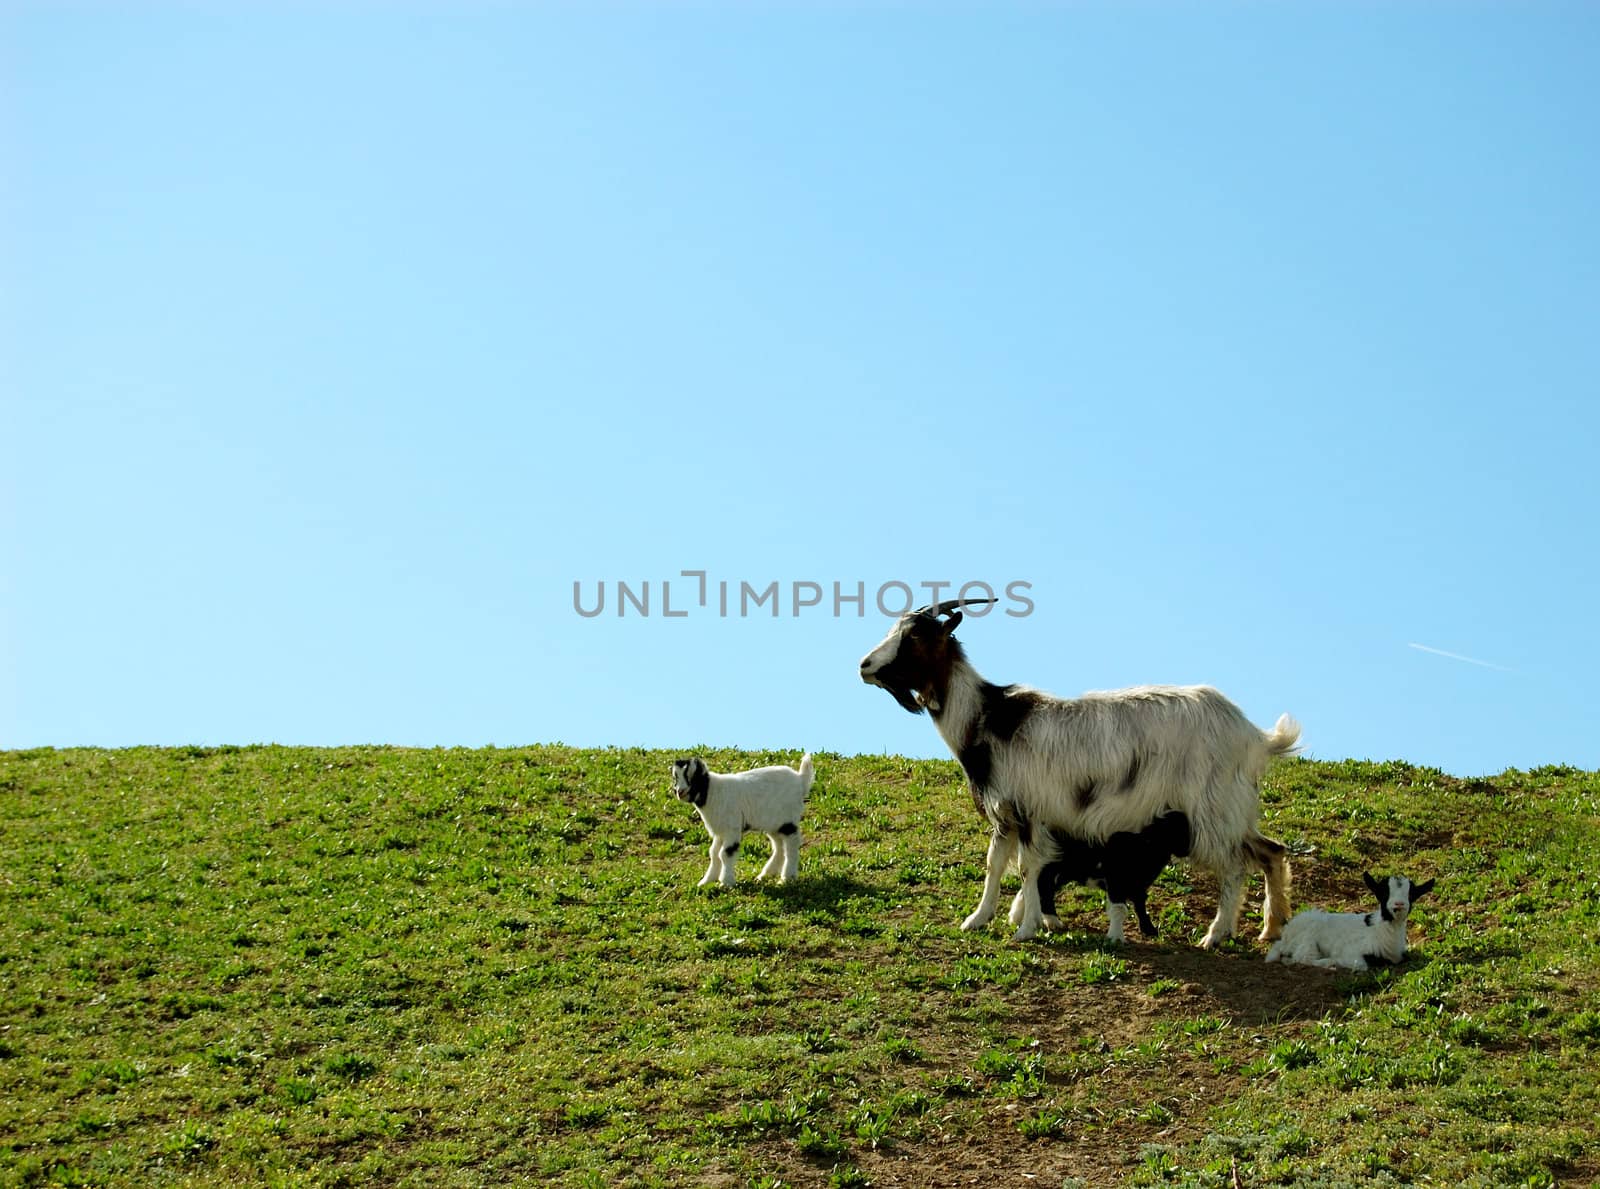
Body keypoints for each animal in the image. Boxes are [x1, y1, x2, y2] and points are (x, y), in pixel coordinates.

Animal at [668, 758, 812, 889]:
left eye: (692, 777)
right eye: (676, 777)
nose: (679, 792)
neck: (711, 791)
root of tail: (800, 780)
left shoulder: (732, 828)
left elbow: (725, 853)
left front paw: (726, 882)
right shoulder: (720, 831)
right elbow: (714, 853)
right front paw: (706, 881)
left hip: (788, 820)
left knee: (791, 845)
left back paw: (787, 878)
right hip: (773, 823)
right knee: (779, 846)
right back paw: (765, 875)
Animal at [1260, 870, 1440, 972]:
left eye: (1411, 894)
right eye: (1383, 893)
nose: (1399, 904)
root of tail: (1286, 934)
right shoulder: (1352, 952)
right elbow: (1361, 965)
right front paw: (1335, 961)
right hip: (1308, 939)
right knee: (1302, 957)